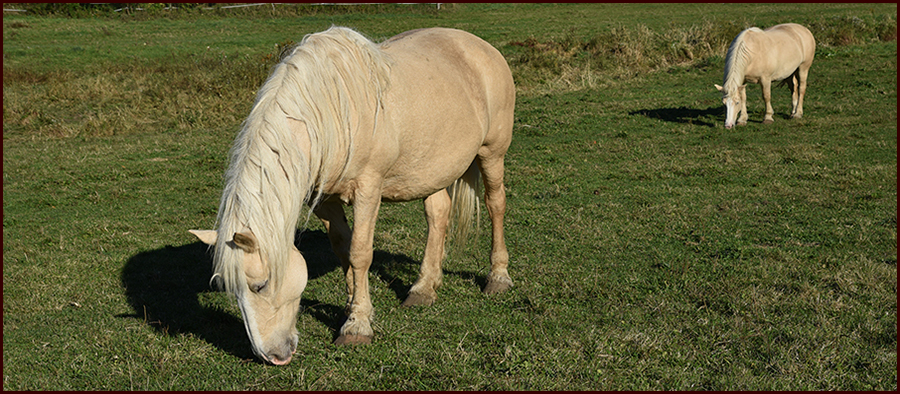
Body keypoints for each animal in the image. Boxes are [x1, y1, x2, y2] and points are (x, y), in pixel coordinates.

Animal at [190, 26, 512, 366]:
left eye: (260, 285)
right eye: (231, 290)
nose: (272, 355)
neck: (328, 110)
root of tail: (481, 46)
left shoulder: (368, 191)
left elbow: (360, 253)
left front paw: (357, 326)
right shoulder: (325, 201)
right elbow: (343, 249)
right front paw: (351, 308)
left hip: (492, 154)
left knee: (495, 205)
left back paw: (498, 278)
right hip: (434, 169)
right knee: (437, 215)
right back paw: (424, 288)